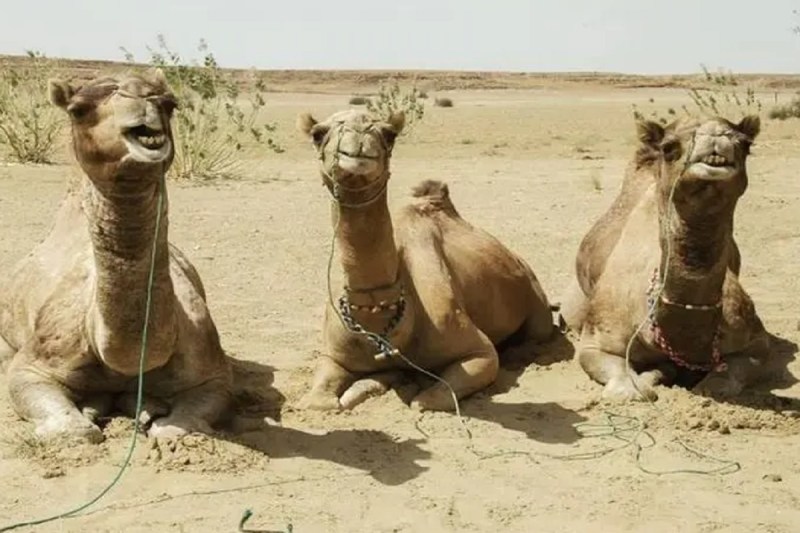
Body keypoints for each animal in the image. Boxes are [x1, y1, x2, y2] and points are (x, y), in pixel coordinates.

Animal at [0, 70, 232, 443]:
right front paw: (80, 423)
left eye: (170, 103)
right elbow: (73, 429)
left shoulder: (212, 369)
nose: (143, 97)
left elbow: (178, 427)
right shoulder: (33, 363)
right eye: (78, 109)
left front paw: (161, 422)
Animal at [296, 109, 554, 411]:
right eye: (318, 134)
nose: (359, 133)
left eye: (389, 134)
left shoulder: (480, 351)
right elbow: (319, 400)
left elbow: (426, 399)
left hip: (537, 302)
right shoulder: (332, 354)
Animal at [560, 115, 770, 401]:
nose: (716, 135)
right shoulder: (597, 340)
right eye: (669, 147)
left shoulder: (752, 336)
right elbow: (626, 387)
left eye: (746, 144)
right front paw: (646, 383)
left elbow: (725, 378)